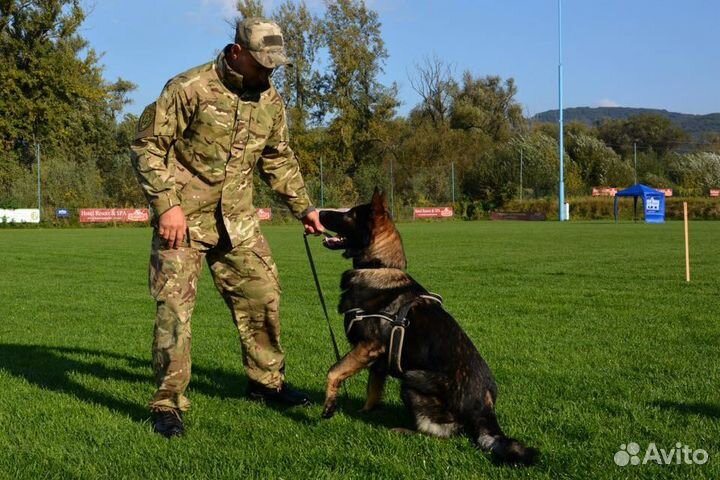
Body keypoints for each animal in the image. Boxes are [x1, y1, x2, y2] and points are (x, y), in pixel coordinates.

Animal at [318, 188, 536, 464]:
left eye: (349, 214)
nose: (318, 213)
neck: (379, 266)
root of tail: (485, 409)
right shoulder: (377, 361)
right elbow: (372, 391)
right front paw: (365, 412)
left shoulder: (366, 347)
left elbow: (333, 371)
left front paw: (329, 406)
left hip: (411, 379)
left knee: (446, 432)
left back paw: (405, 431)